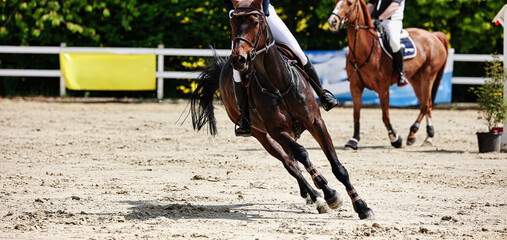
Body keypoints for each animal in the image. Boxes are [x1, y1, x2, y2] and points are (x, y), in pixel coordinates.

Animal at [190, 0, 374, 219]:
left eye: (256, 22)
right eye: (233, 22)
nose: (239, 60)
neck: (277, 83)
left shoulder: (315, 122)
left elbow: (337, 167)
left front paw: (362, 206)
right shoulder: (277, 131)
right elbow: (302, 155)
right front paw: (329, 193)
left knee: (294, 161)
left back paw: (312, 195)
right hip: (262, 136)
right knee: (290, 163)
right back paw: (318, 198)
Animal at [326, 0, 448, 149]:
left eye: (349, 3)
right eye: (336, 2)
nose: (332, 21)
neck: (366, 50)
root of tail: (433, 35)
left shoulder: (383, 89)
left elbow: (385, 115)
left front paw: (395, 139)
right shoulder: (355, 87)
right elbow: (356, 114)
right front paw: (353, 140)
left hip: (428, 76)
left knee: (425, 104)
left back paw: (412, 133)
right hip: (416, 80)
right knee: (427, 103)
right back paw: (428, 136)